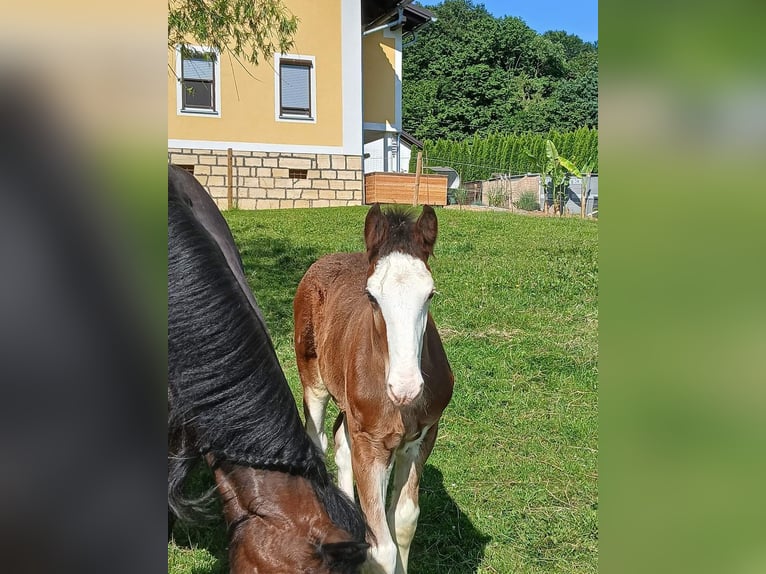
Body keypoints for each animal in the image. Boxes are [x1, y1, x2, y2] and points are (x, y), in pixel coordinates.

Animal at [294, 205, 456, 572]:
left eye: (430, 294)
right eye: (371, 296)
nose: (405, 386)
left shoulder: (422, 437)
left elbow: (405, 520)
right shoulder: (370, 444)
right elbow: (381, 548)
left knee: (341, 441)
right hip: (314, 381)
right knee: (319, 437)